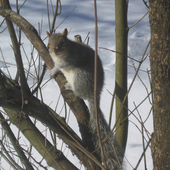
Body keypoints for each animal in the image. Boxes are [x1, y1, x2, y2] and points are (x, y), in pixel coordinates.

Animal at [46, 28, 123, 169]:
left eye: (63, 42)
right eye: (49, 44)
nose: (55, 50)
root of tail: (94, 94)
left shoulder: (73, 58)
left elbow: (61, 65)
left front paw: (54, 69)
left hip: (80, 77)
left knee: (80, 94)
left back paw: (70, 87)